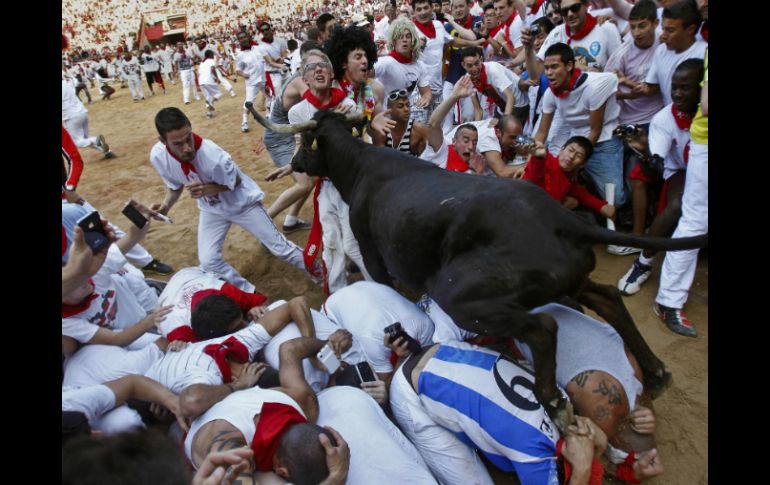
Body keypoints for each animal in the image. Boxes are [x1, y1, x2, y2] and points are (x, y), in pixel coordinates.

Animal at [249, 107, 704, 432]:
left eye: (306, 139)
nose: (297, 162)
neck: (360, 166)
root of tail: (563, 220)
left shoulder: (374, 251)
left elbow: (385, 285)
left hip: (462, 294)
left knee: (544, 328)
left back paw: (555, 402)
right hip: (569, 279)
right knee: (606, 298)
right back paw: (656, 372)